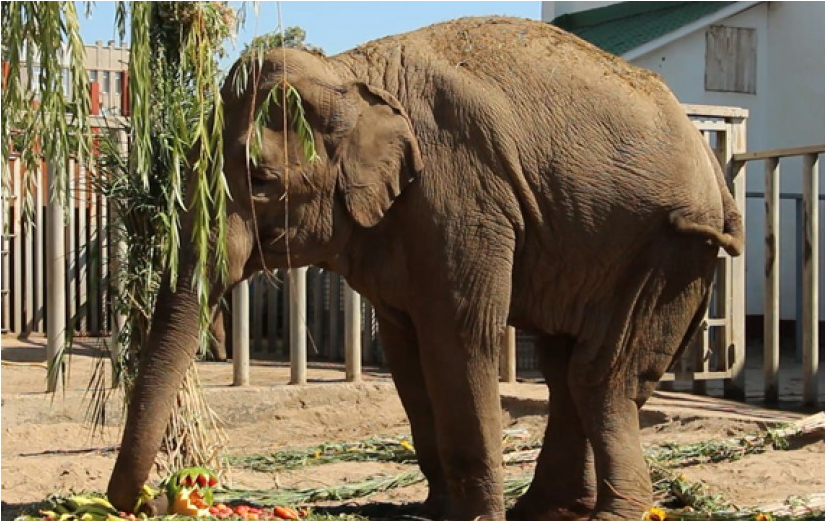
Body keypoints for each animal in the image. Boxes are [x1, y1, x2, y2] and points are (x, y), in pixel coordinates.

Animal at [105, 16, 744, 520]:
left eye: (261, 180)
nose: (155, 498)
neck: (350, 74)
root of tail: (709, 156)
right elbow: (405, 350)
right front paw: (437, 512)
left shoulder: (462, 196)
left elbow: (460, 337)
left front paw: (478, 518)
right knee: (566, 370)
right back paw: (547, 510)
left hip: (672, 247)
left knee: (601, 376)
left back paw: (612, 513)